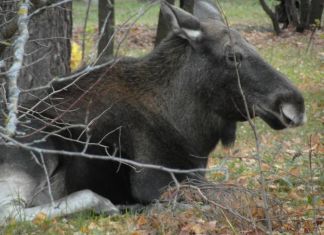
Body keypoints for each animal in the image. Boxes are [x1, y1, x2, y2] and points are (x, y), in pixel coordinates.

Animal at [0, 0, 306, 224]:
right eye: (233, 56)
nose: (294, 104)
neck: (191, 133)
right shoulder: (157, 182)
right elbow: (239, 197)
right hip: (38, 148)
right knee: (12, 213)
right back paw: (107, 204)